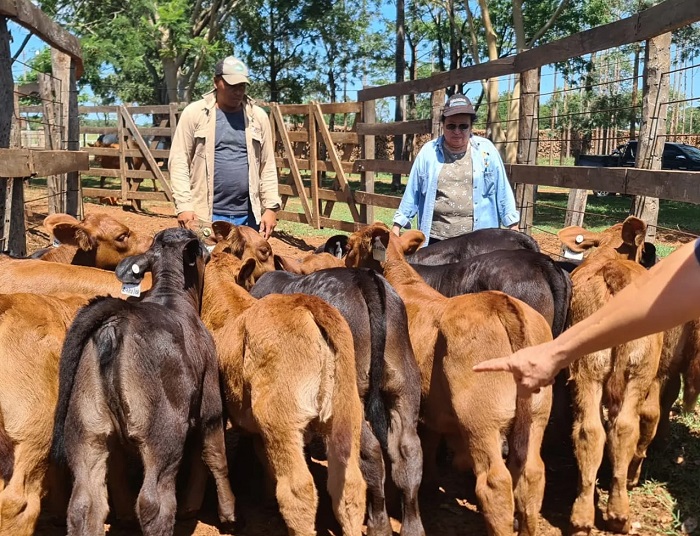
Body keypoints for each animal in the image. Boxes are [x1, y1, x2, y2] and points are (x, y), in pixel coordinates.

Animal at [344, 223, 552, 536]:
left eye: (349, 246)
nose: (343, 264)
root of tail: (500, 303)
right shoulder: (430, 409)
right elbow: (425, 446)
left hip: (481, 420)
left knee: (495, 483)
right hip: (536, 415)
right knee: (531, 474)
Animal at [556, 218, 664, 536]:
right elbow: (651, 417)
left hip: (599, 369)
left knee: (603, 430)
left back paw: (595, 514)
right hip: (628, 372)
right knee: (616, 428)